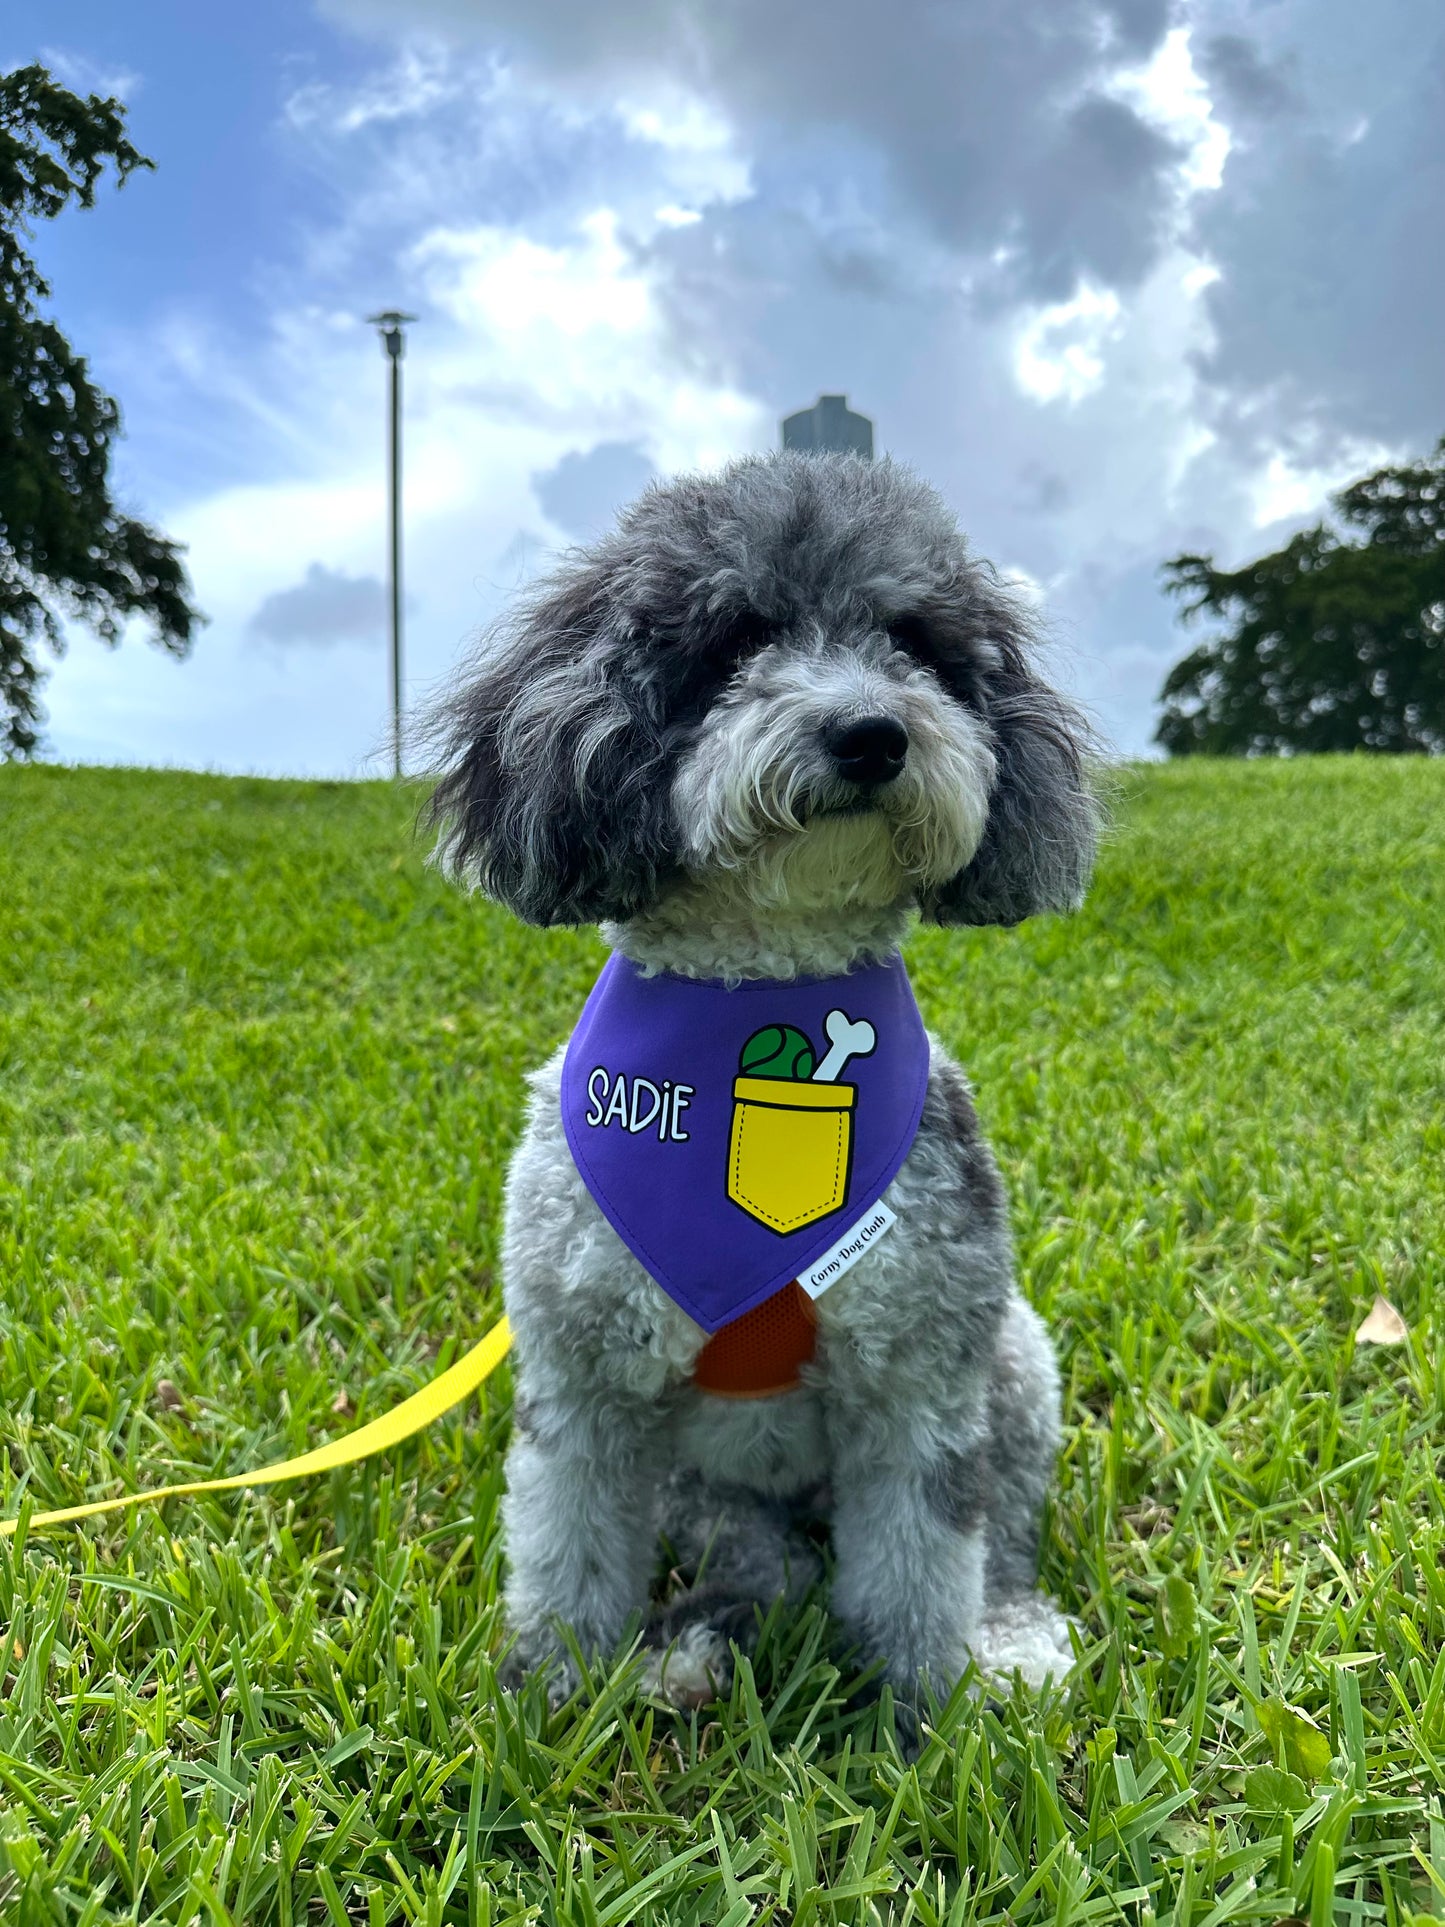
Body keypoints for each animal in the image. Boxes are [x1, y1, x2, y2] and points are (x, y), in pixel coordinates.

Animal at [423, 447, 1102, 1734]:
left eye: (913, 642)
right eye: (736, 638)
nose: (872, 731)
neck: (753, 1006)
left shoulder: (919, 1376)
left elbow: (919, 1563)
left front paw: (924, 1713)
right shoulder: (583, 1378)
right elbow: (566, 1545)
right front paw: (554, 1698)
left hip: (1013, 1365)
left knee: (995, 1533)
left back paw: (1004, 1637)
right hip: (704, 1487)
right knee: (768, 1563)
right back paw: (696, 1647)